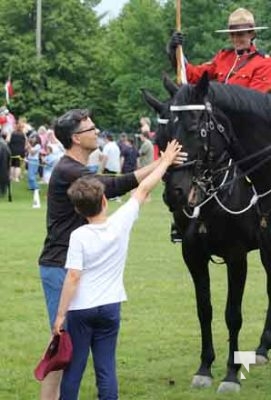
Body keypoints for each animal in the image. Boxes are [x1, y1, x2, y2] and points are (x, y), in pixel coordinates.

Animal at [142, 74, 271, 390]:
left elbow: (232, 314)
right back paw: (263, 348)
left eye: (194, 129)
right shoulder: (193, 255)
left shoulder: (237, 256)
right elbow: (205, 310)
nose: (174, 193)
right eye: (161, 139)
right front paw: (204, 368)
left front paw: (231, 374)